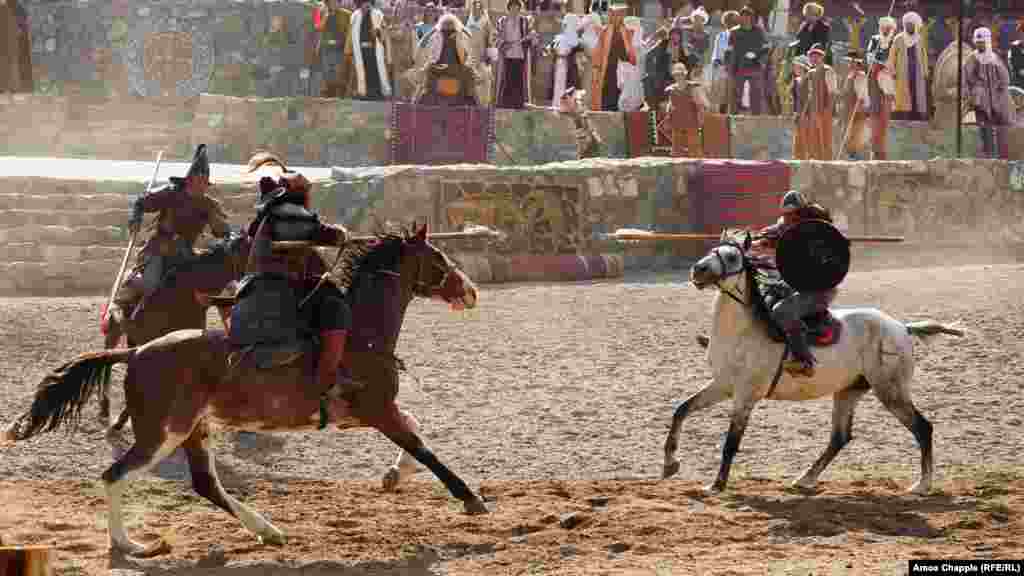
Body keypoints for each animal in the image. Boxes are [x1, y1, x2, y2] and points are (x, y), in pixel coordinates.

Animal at [4, 222, 485, 553]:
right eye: (439, 258)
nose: (472, 291)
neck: (358, 333)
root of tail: (137, 352)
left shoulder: (369, 413)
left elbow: (416, 431)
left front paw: (395, 475)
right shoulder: (377, 410)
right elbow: (424, 447)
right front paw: (471, 499)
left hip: (193, 430)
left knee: (205, 484)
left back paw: (265, 530)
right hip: (163, 433)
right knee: (115, 475)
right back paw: (129, 544)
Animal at [659, 228, 962, 494]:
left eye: (732, 257)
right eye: (712, 250)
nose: (698, 270)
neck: (742, 332)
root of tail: (902, 327)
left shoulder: (745, 395)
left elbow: (731, 443)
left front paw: (717, 485)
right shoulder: (722, 386)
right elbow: (681, 410)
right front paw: (670, 464)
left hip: (891, 391)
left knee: (923, 428)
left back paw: (923, 485)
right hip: (849, 391)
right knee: (839, 437)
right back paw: (805, 478)